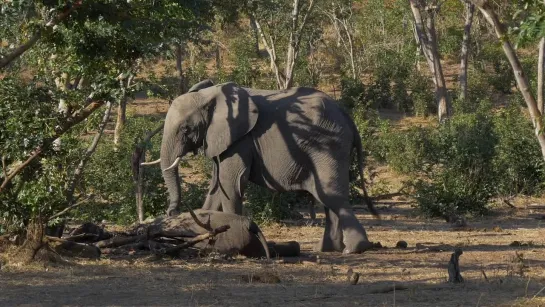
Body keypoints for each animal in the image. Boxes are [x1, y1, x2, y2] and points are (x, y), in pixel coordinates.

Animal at [157, 79, 376, 255]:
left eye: (186, 129)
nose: (172, 212)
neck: (210, 95)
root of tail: (347, 117)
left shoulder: (240, 140)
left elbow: (231, 184)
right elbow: (216, 187)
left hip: (327, 146)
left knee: (332, 196)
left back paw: (353, 249)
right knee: (325, 197)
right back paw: (326, 249)